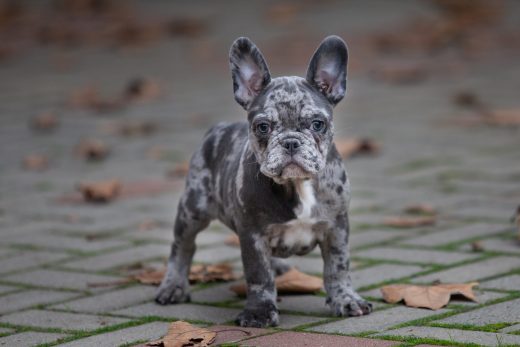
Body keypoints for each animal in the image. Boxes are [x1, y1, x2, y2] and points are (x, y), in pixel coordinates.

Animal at [156, 36, 372, 328]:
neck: (298, 184)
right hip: (193, 209)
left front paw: (346, 299)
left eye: (318, 124)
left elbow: (338, 267)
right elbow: (259, 275)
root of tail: (217, 128)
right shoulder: (253, 236)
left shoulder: (336, 227)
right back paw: (173, 286)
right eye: (263, 127)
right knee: (183, 246)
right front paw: (259, 311)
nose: (290, 141)